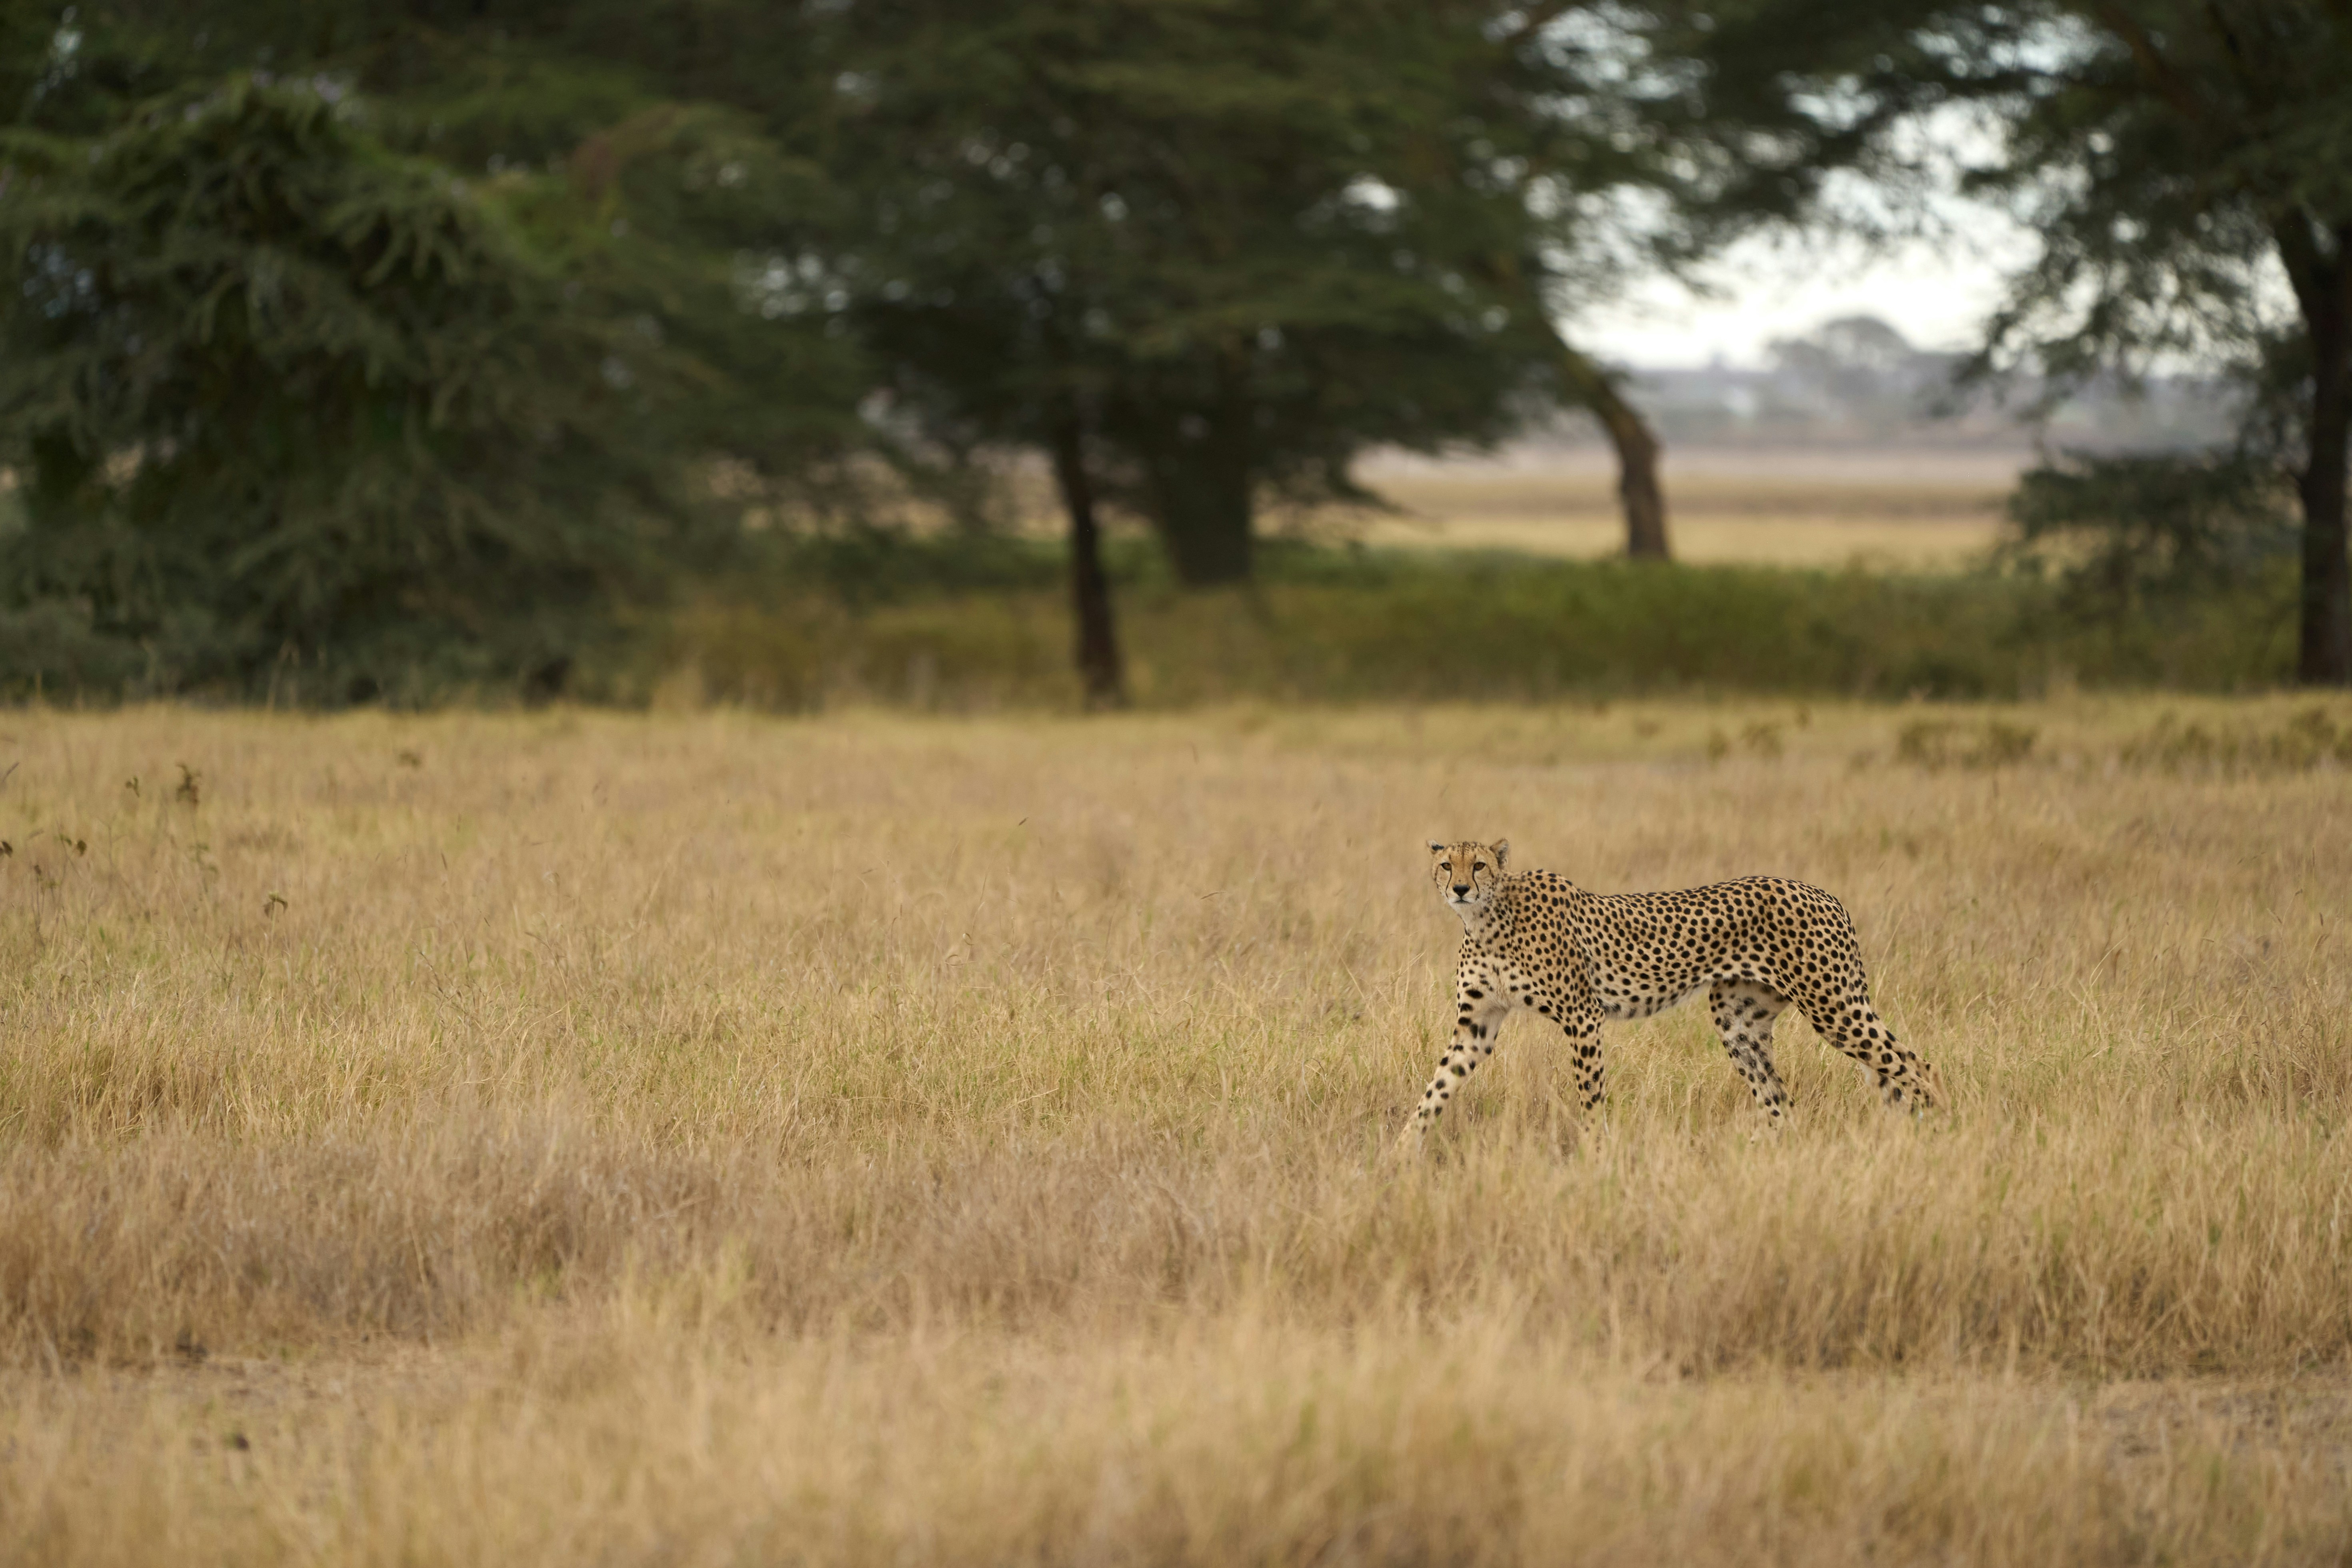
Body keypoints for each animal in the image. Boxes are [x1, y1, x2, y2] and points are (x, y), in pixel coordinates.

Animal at [1403, 838, 1934, 1149]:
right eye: (1446, 864)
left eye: (1479, 865)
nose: (1460, 889)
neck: (1487, 919)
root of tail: (1823, 893)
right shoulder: (1476, 1026)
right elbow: (1436, 1087)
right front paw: (1401, 1151)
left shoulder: (1582, 1016)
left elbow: (1589, 1095)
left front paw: (1595, 1154)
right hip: (1738, 1020)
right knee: (1779, 1102)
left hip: (1832, 1006)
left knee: (1915, 1065)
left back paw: (1937, 1132)